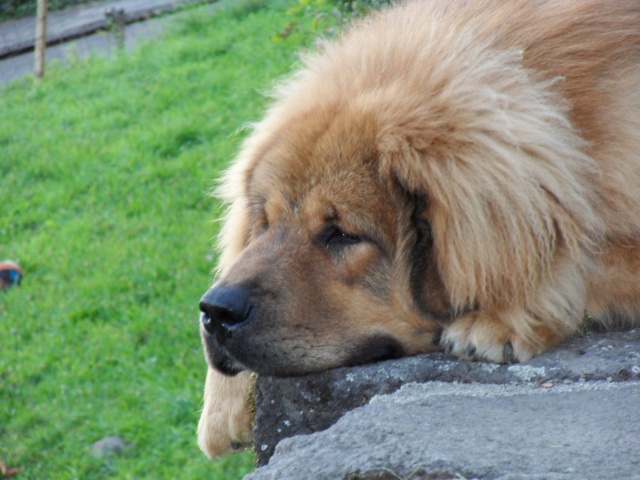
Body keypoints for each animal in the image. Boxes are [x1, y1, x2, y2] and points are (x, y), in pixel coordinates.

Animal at [196, 0, 640, 458]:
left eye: (342, 235)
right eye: (265, 223)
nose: (216, 311)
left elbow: (581, 260)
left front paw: (503, 314)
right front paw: (221, 407)